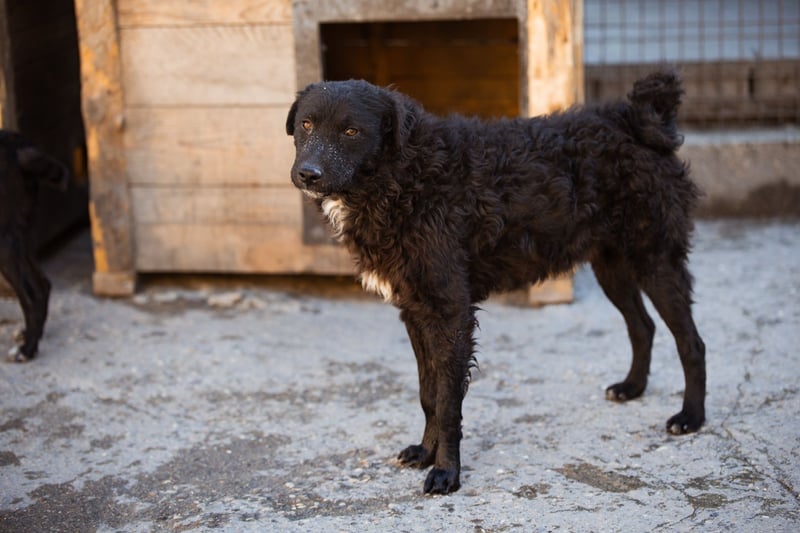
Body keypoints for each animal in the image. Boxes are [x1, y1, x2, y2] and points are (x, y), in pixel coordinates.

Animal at [0, 130, 69, 362]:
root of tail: (18, 149)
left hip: (5, 243)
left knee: (35, 290)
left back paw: (27, 349)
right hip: (23, 237)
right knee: (42, 284)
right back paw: (30, 336)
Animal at [286, 69, 706, 494]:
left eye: (351, 131)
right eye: (306, 125)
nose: (307, 174)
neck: (406, 175)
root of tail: (635, 118)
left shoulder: (451, 312)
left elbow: (448, 402)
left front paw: (446, 472)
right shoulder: (416, 311)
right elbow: (428, 394)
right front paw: (426, 453)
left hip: (656, 261)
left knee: (691, 342)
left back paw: (691, 417)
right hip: (613, 267)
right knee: (643, 326)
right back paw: (632, 387)